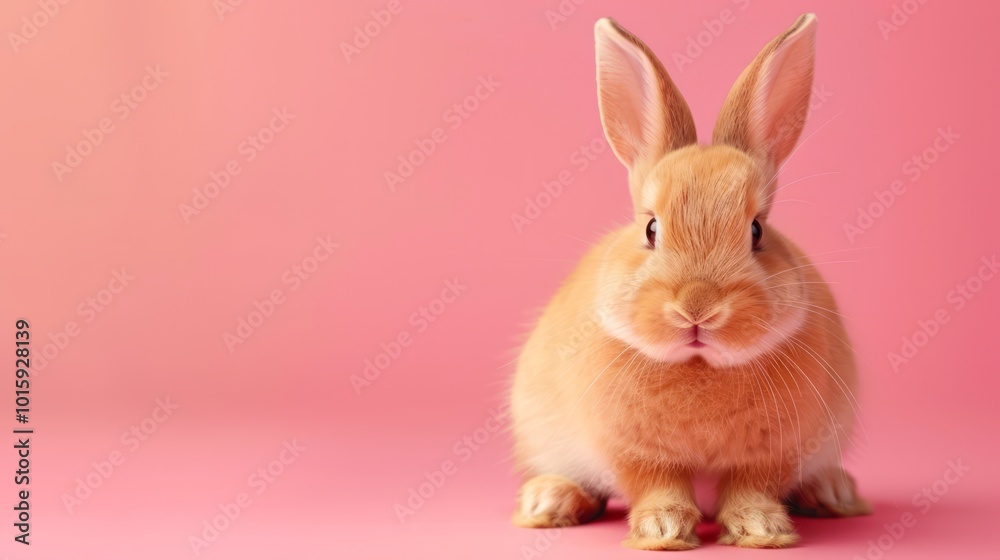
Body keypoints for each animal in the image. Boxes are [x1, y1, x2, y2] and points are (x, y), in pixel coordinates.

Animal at [509, 14, 870, 550]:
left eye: (756, 231)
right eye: (650, 229)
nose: (698, 308)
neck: (699, 367)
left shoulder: (770, 453)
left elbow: (751, 487)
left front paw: (762, 530)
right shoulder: (635, 453)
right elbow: (657, 485)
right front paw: (661, 531)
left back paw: (834, 492)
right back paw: (547, 500)